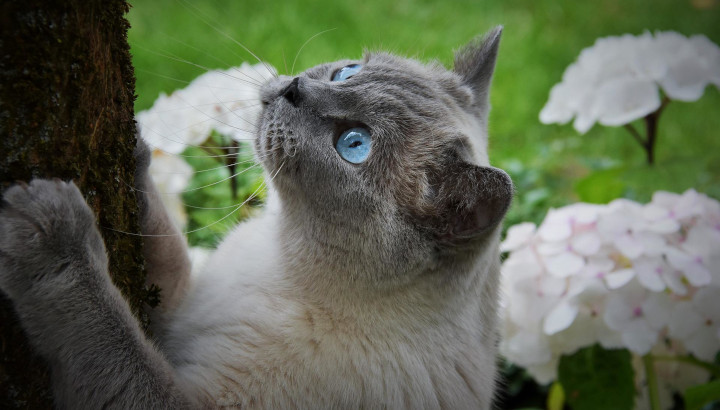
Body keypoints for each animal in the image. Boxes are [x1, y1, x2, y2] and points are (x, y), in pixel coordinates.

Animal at [1, 27, 516, 408]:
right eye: (346, 72)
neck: (281, 250)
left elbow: (108, 332)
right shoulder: (175, 311)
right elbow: (159, 242)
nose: (293, 89)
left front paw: (51, 232)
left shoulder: (183, 399)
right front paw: (131, 141)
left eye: (354, 144)